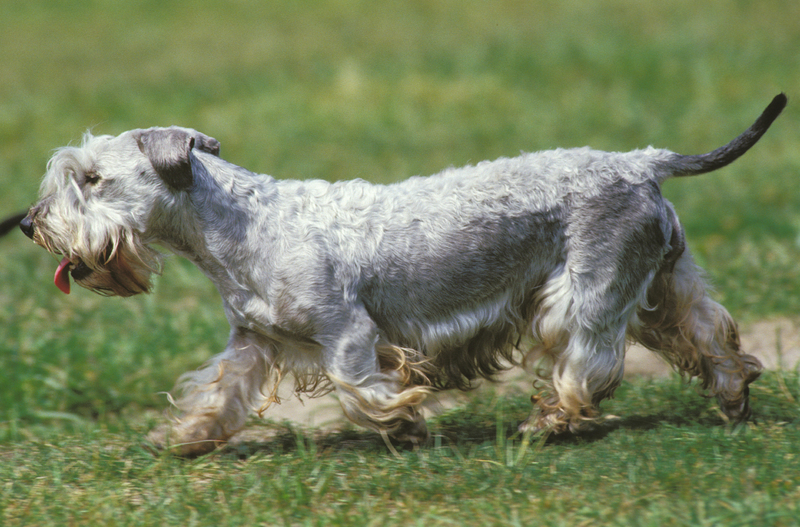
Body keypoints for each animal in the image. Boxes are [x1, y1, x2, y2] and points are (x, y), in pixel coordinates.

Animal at [20, 94, 788, 454]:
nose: (29, 222)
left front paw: (407, 419)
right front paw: (184, 439)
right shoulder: (252, 341)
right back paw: (733, 398)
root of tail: (641, 161)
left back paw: (548, 421)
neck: (237, 228)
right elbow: (220, 393)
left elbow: (361, 388)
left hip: (587, 292)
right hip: (661, 282)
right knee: (710, 336)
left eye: (91, 177)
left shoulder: (348, 332)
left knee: (585, 365)